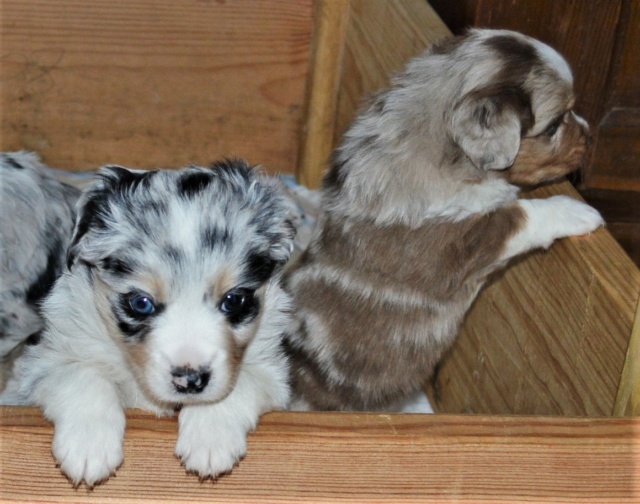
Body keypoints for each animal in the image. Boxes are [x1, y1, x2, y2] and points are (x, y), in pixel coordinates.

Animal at [15, 159, 296, 486]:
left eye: (233, 300)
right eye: (141, 303)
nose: (190, 379)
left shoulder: (272, 372)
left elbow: (243, 382)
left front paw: (210, 439)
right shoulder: (44, 363)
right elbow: (82, 374)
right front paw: (88, 446)